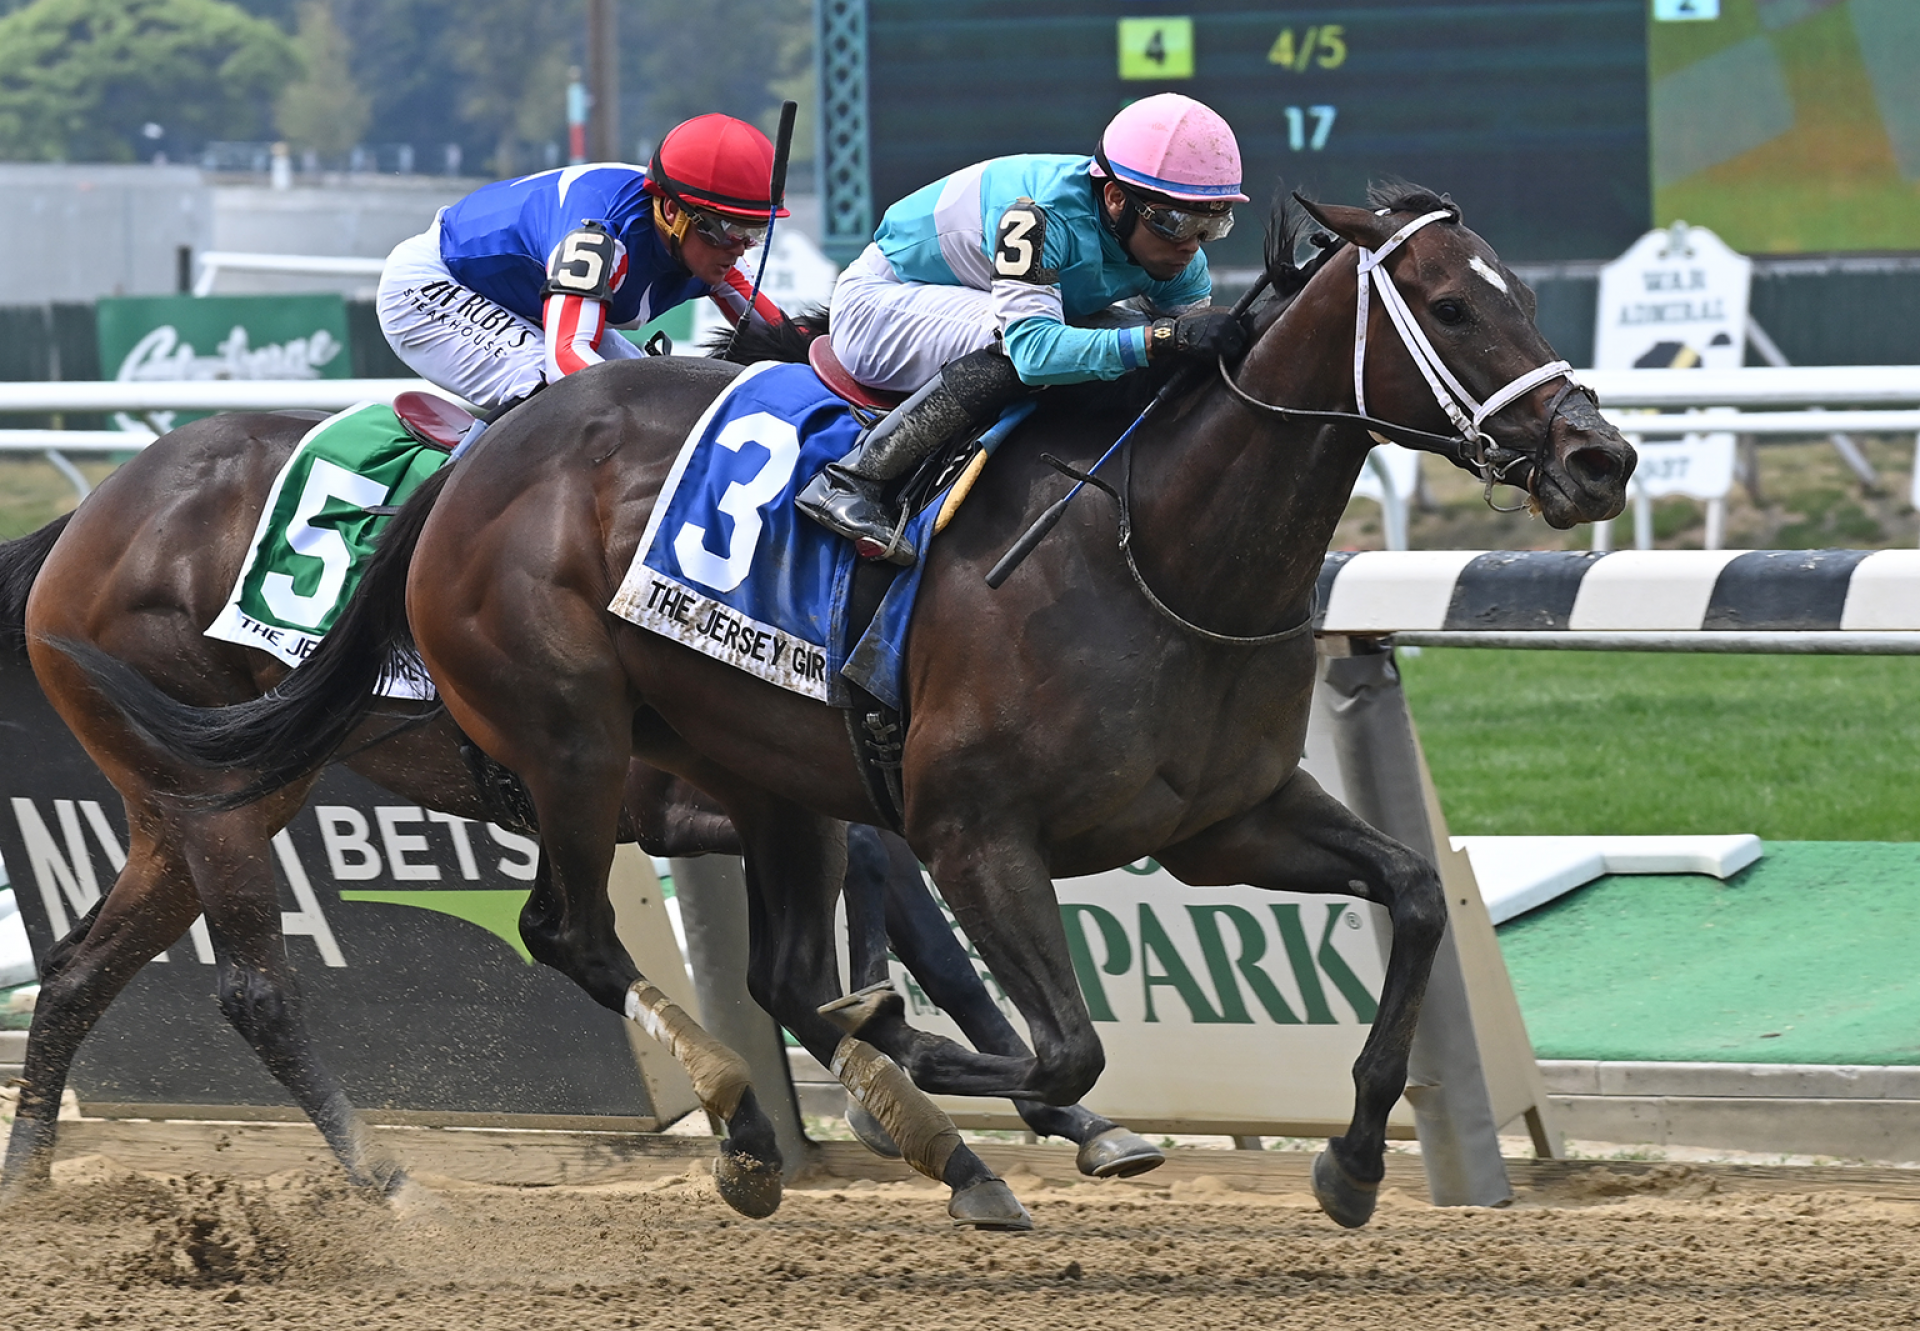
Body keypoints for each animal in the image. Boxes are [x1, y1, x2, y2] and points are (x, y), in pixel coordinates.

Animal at [52, 187, 1628, 1221]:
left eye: (1525, 293)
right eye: (1448, 304)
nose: (1600, 457)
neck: (1159, 542)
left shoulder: (1223, 819)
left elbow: (1412, 895)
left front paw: (1354, 1160)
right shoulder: (967, 822)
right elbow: (1043, 1028)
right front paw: (953, 1081)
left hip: (739, 780)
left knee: (84, 970)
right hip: (540, 742)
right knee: (535, 933)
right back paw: (731, 1132)